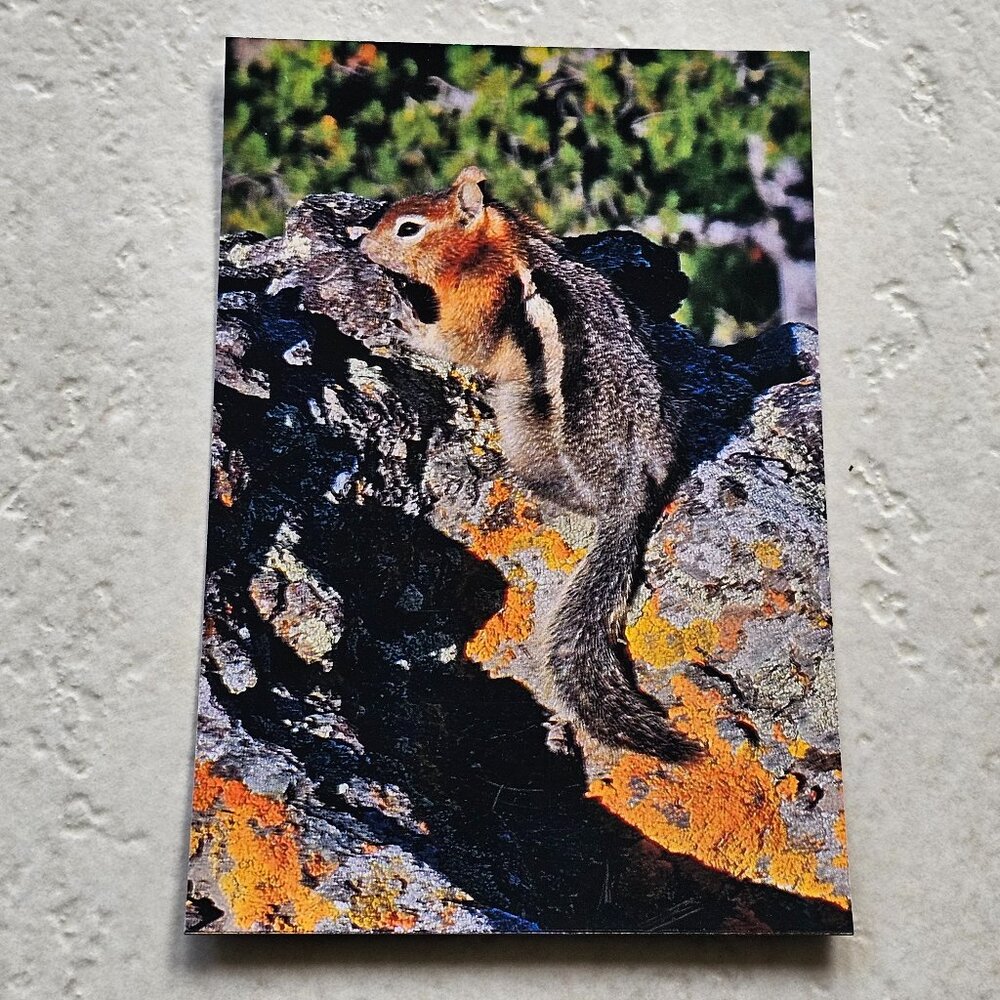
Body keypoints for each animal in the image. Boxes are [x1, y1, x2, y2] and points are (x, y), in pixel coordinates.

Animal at [360, 166, 702, 763]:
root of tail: (631, 489)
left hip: (523, 421)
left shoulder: (474, 308)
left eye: (407, 227)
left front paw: (404, 319)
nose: (360, 244)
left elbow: (454, 346)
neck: (491, 247)